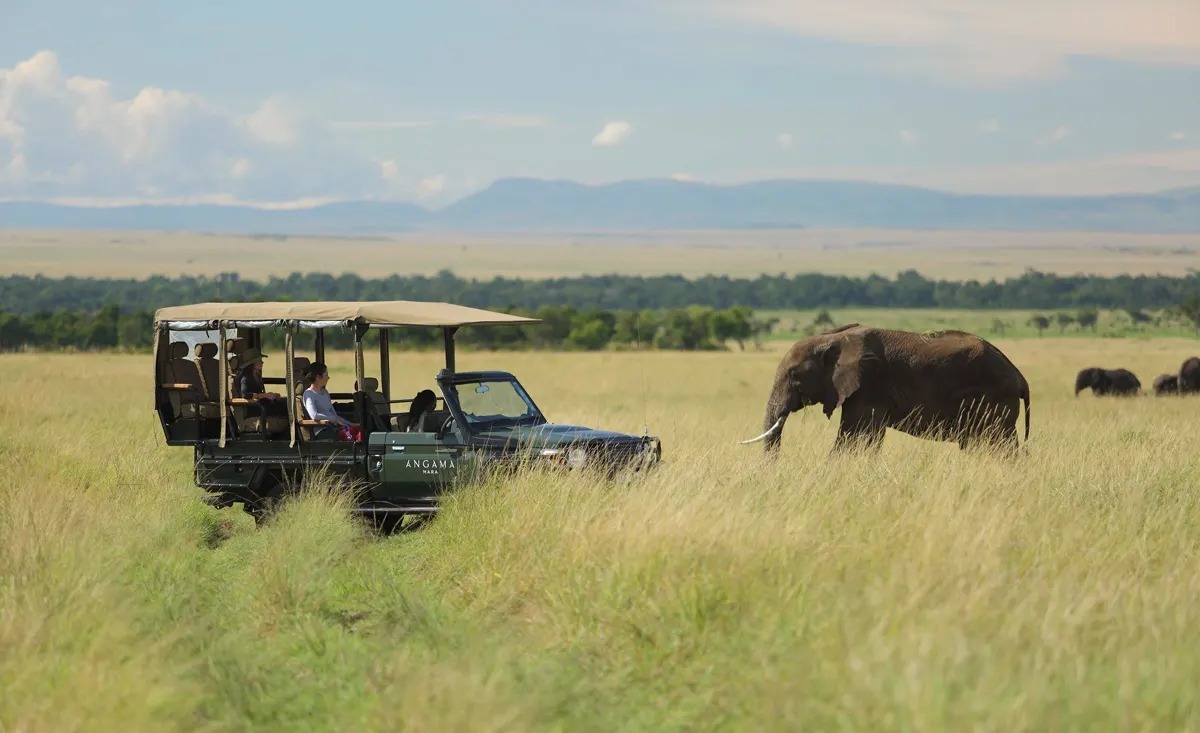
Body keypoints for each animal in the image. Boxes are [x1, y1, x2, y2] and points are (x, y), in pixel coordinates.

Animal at [739, 323, 1032, 455]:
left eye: (794, 375)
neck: (834, 338)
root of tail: (1020, 377)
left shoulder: (869, 385)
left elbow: (855, 439)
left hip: (993, 400)